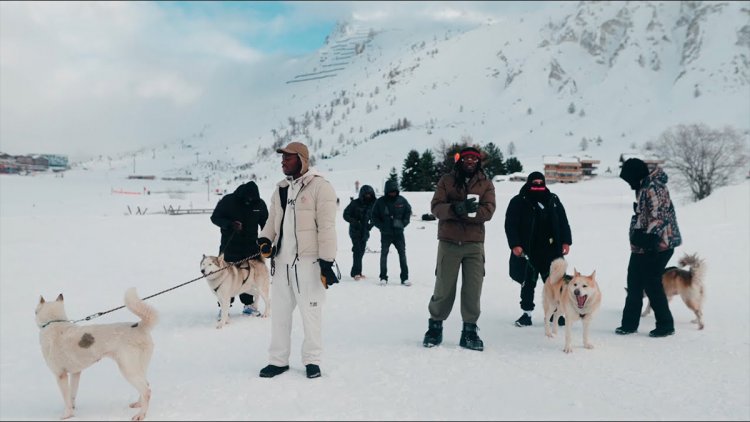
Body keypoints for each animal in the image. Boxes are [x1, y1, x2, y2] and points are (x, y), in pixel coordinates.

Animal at [36, 286, 159, 418]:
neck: (54, 322)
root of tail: (139, 326)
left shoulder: (60, 375)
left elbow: (66, 398)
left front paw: (67, 415)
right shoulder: (76, 373)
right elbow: (72, 395)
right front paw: (73, 410)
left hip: (128, 369)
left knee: (146, 391)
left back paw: (140, 415)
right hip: (139, 367)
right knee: (146, 384)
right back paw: (139, 404)